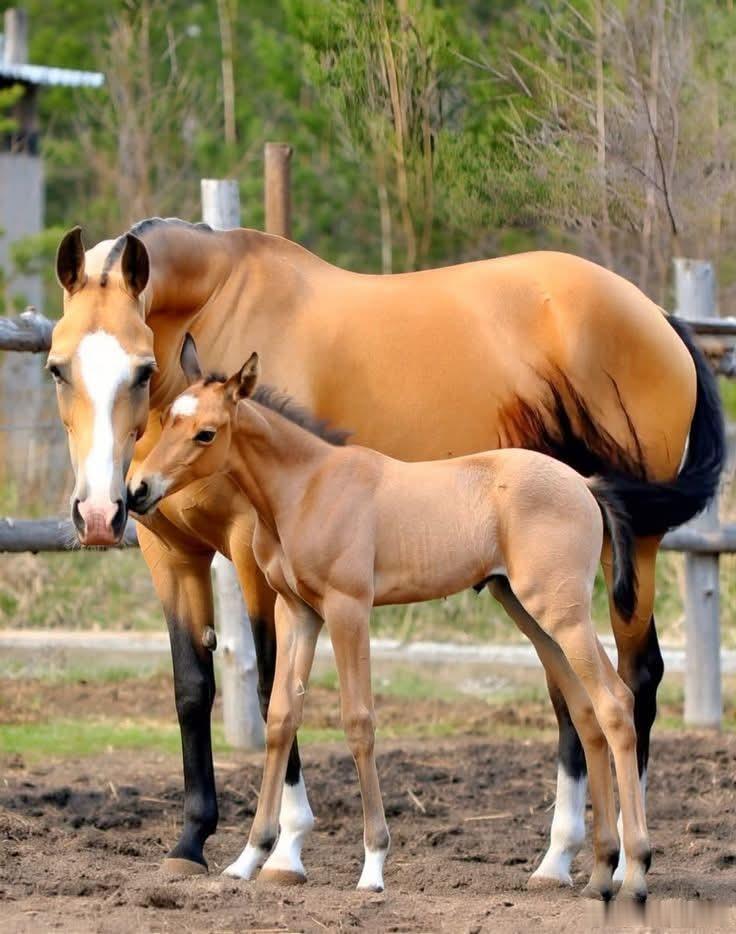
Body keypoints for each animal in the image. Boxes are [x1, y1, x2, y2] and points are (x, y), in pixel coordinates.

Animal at [127, 337, 651, 901]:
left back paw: (635, 872)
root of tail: (584, 484)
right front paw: (251, 858)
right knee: (585, 710)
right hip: (530, 613)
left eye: (206, 433)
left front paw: (373, 865)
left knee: (615, 702)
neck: (307, 487)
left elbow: (359, 721)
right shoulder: (298, 612)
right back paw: (599, 872)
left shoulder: (348, 608)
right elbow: (281, 717)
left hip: (561, 613)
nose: (137, 490)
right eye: (168, 419)